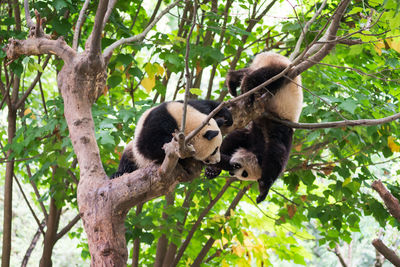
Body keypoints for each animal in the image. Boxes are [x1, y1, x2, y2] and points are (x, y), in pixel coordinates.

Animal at [205, 51, 302, 203]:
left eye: (244, 174)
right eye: (241, 170)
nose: (231, 171)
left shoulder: (257, 135)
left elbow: (238, 138)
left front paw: (213, 168)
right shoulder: (279, 129)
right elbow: (278, 152)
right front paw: (264, 189)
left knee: (247, 71)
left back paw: (233, 81)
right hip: (283, 71)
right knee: (263, 76)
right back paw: (246, 88)